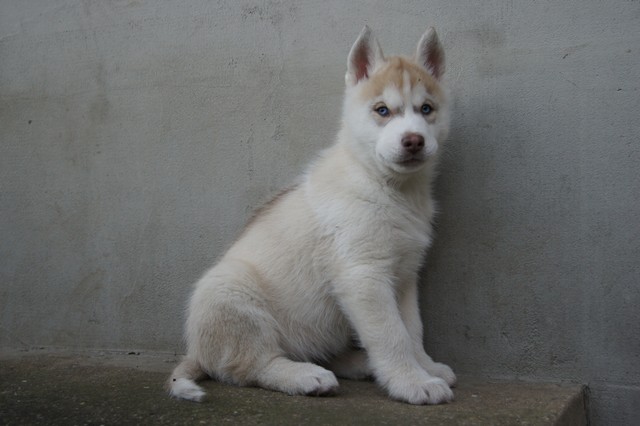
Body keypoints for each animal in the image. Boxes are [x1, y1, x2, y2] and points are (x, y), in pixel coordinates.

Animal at [168, 26, 455, 405]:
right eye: (382, 110)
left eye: (426, 109)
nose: (413, 141)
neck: (388, 187)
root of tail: (196, 351)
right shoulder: (363, 276)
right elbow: (392, 335)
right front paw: (412, 382)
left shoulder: (404, 277)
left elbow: (413, 329)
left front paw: (426, 367)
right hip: (233, 294)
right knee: (252, 366)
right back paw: (304, 376)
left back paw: (359, 364)